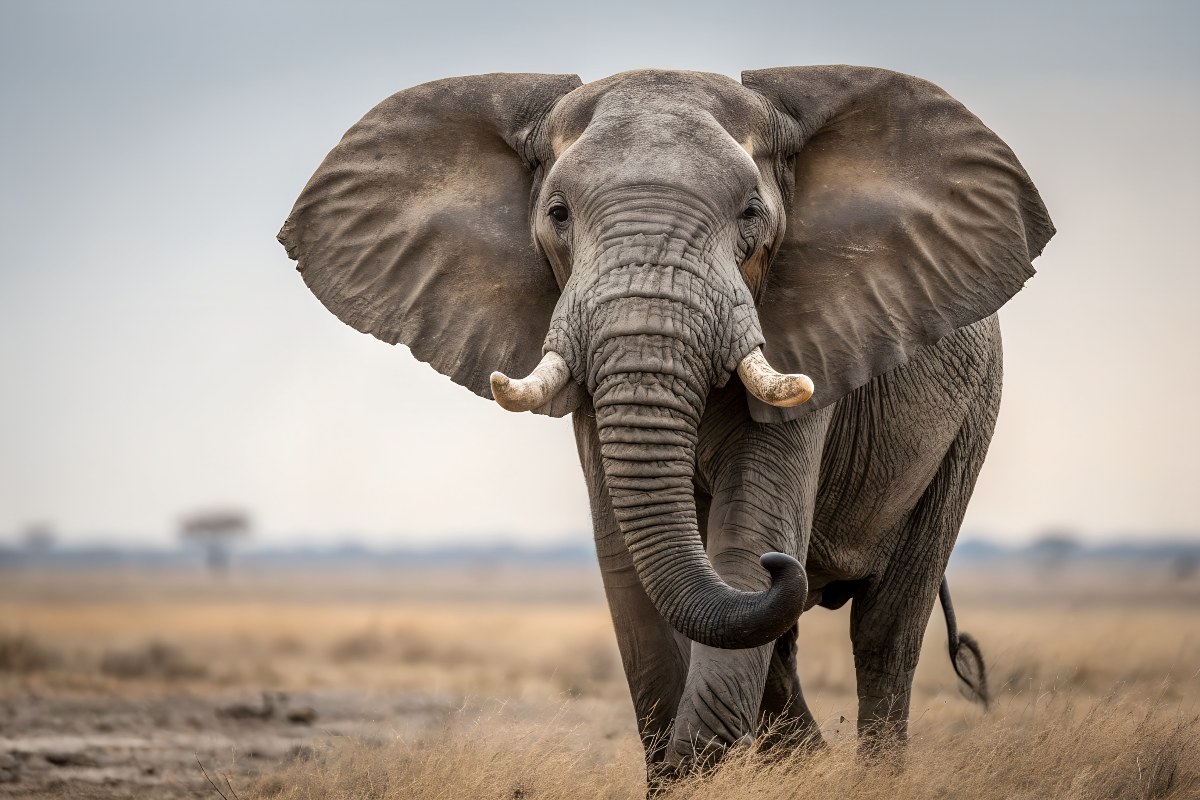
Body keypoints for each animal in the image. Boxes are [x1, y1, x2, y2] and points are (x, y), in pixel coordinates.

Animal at [279, 66, 1053, 788]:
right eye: (557, 212)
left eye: (751, 213)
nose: (782, 565)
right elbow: (627, 565)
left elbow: (746, 535)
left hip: (970, 421)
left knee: (885, 629)